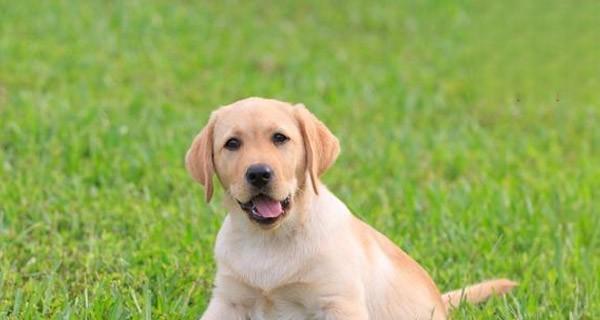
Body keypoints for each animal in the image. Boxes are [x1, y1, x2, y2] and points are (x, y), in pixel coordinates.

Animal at [186, 96, 516, 318]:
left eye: (280, 138)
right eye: (232, 143)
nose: (258, 173)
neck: (270, 240)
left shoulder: (338, 302)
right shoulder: (228, 302)